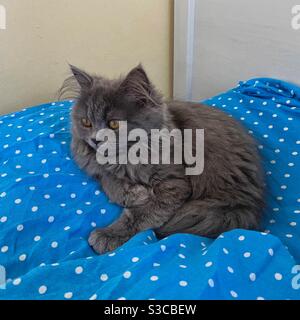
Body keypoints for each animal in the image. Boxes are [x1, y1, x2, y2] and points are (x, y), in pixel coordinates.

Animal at [63, 64, 264, 255]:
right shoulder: (97, 169)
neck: (122, 157)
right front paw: (136, 193)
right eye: (86, 122)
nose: (95, 140)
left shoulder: (174, 183)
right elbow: (108, 181)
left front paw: (108, 235)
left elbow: (142, 214)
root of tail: (250, 205)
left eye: (114, 124)